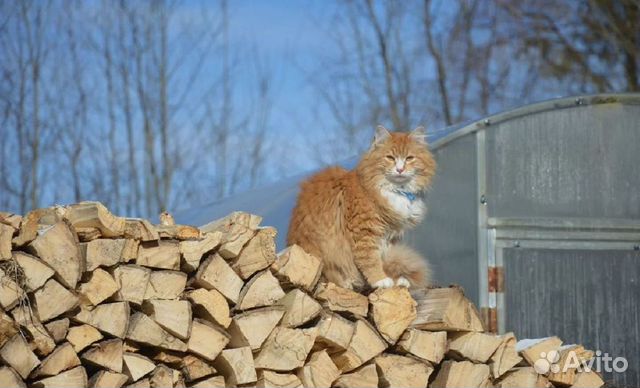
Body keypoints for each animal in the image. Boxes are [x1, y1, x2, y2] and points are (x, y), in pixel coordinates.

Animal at [288, 126, 436, 290]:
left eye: (409, 158)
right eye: (390, 158)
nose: (400, 169)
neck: (396, 191)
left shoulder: (390, 238)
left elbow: (385, 261)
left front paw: (395, 279)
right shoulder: (364, 231)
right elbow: (370, 260)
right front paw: (380, 280)